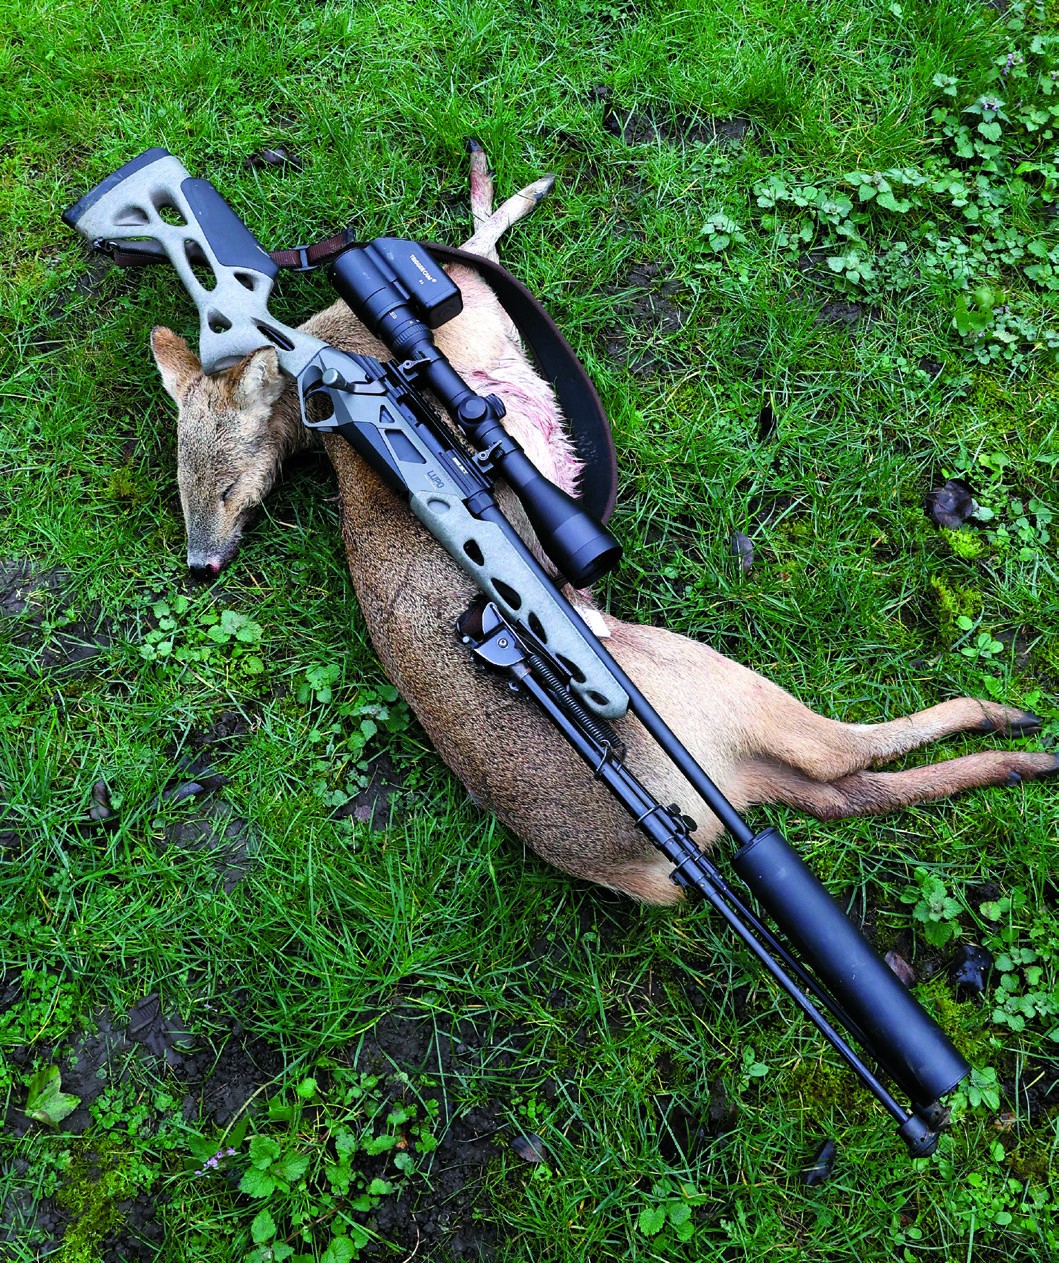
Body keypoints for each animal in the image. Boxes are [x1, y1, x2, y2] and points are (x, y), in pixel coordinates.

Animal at [148, 144, 1056, 906]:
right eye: (189, 488)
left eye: (222, 485)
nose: (200, 563)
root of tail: (658, 863)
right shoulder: (472, 313)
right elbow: (483, 244)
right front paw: (504, 187)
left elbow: (478, 242)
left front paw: (497, 182)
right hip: (705, 680)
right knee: (838, 759)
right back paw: (1014, 725)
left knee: (840, 785)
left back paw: (1015, 753)